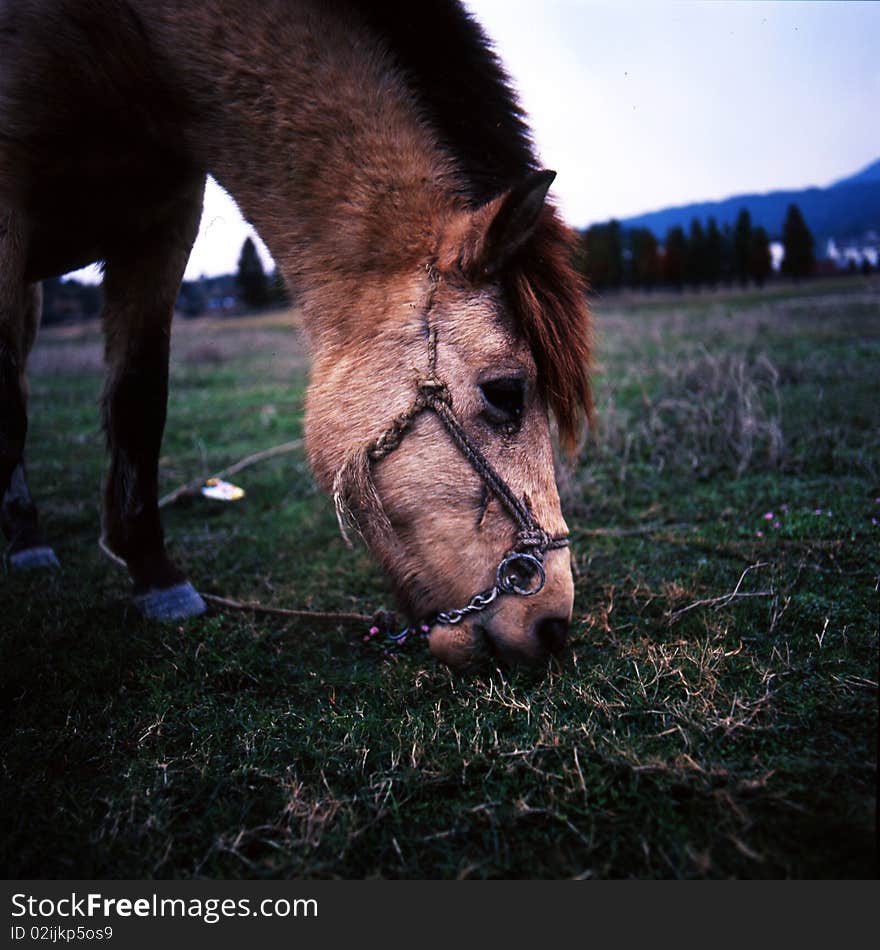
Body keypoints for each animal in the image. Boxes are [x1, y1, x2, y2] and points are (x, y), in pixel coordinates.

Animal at [1, 0, 592, 668]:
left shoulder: (164, 223)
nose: (553, 625)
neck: (134, 49)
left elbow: (137, 401)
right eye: (505, 393)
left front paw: (155, 574)